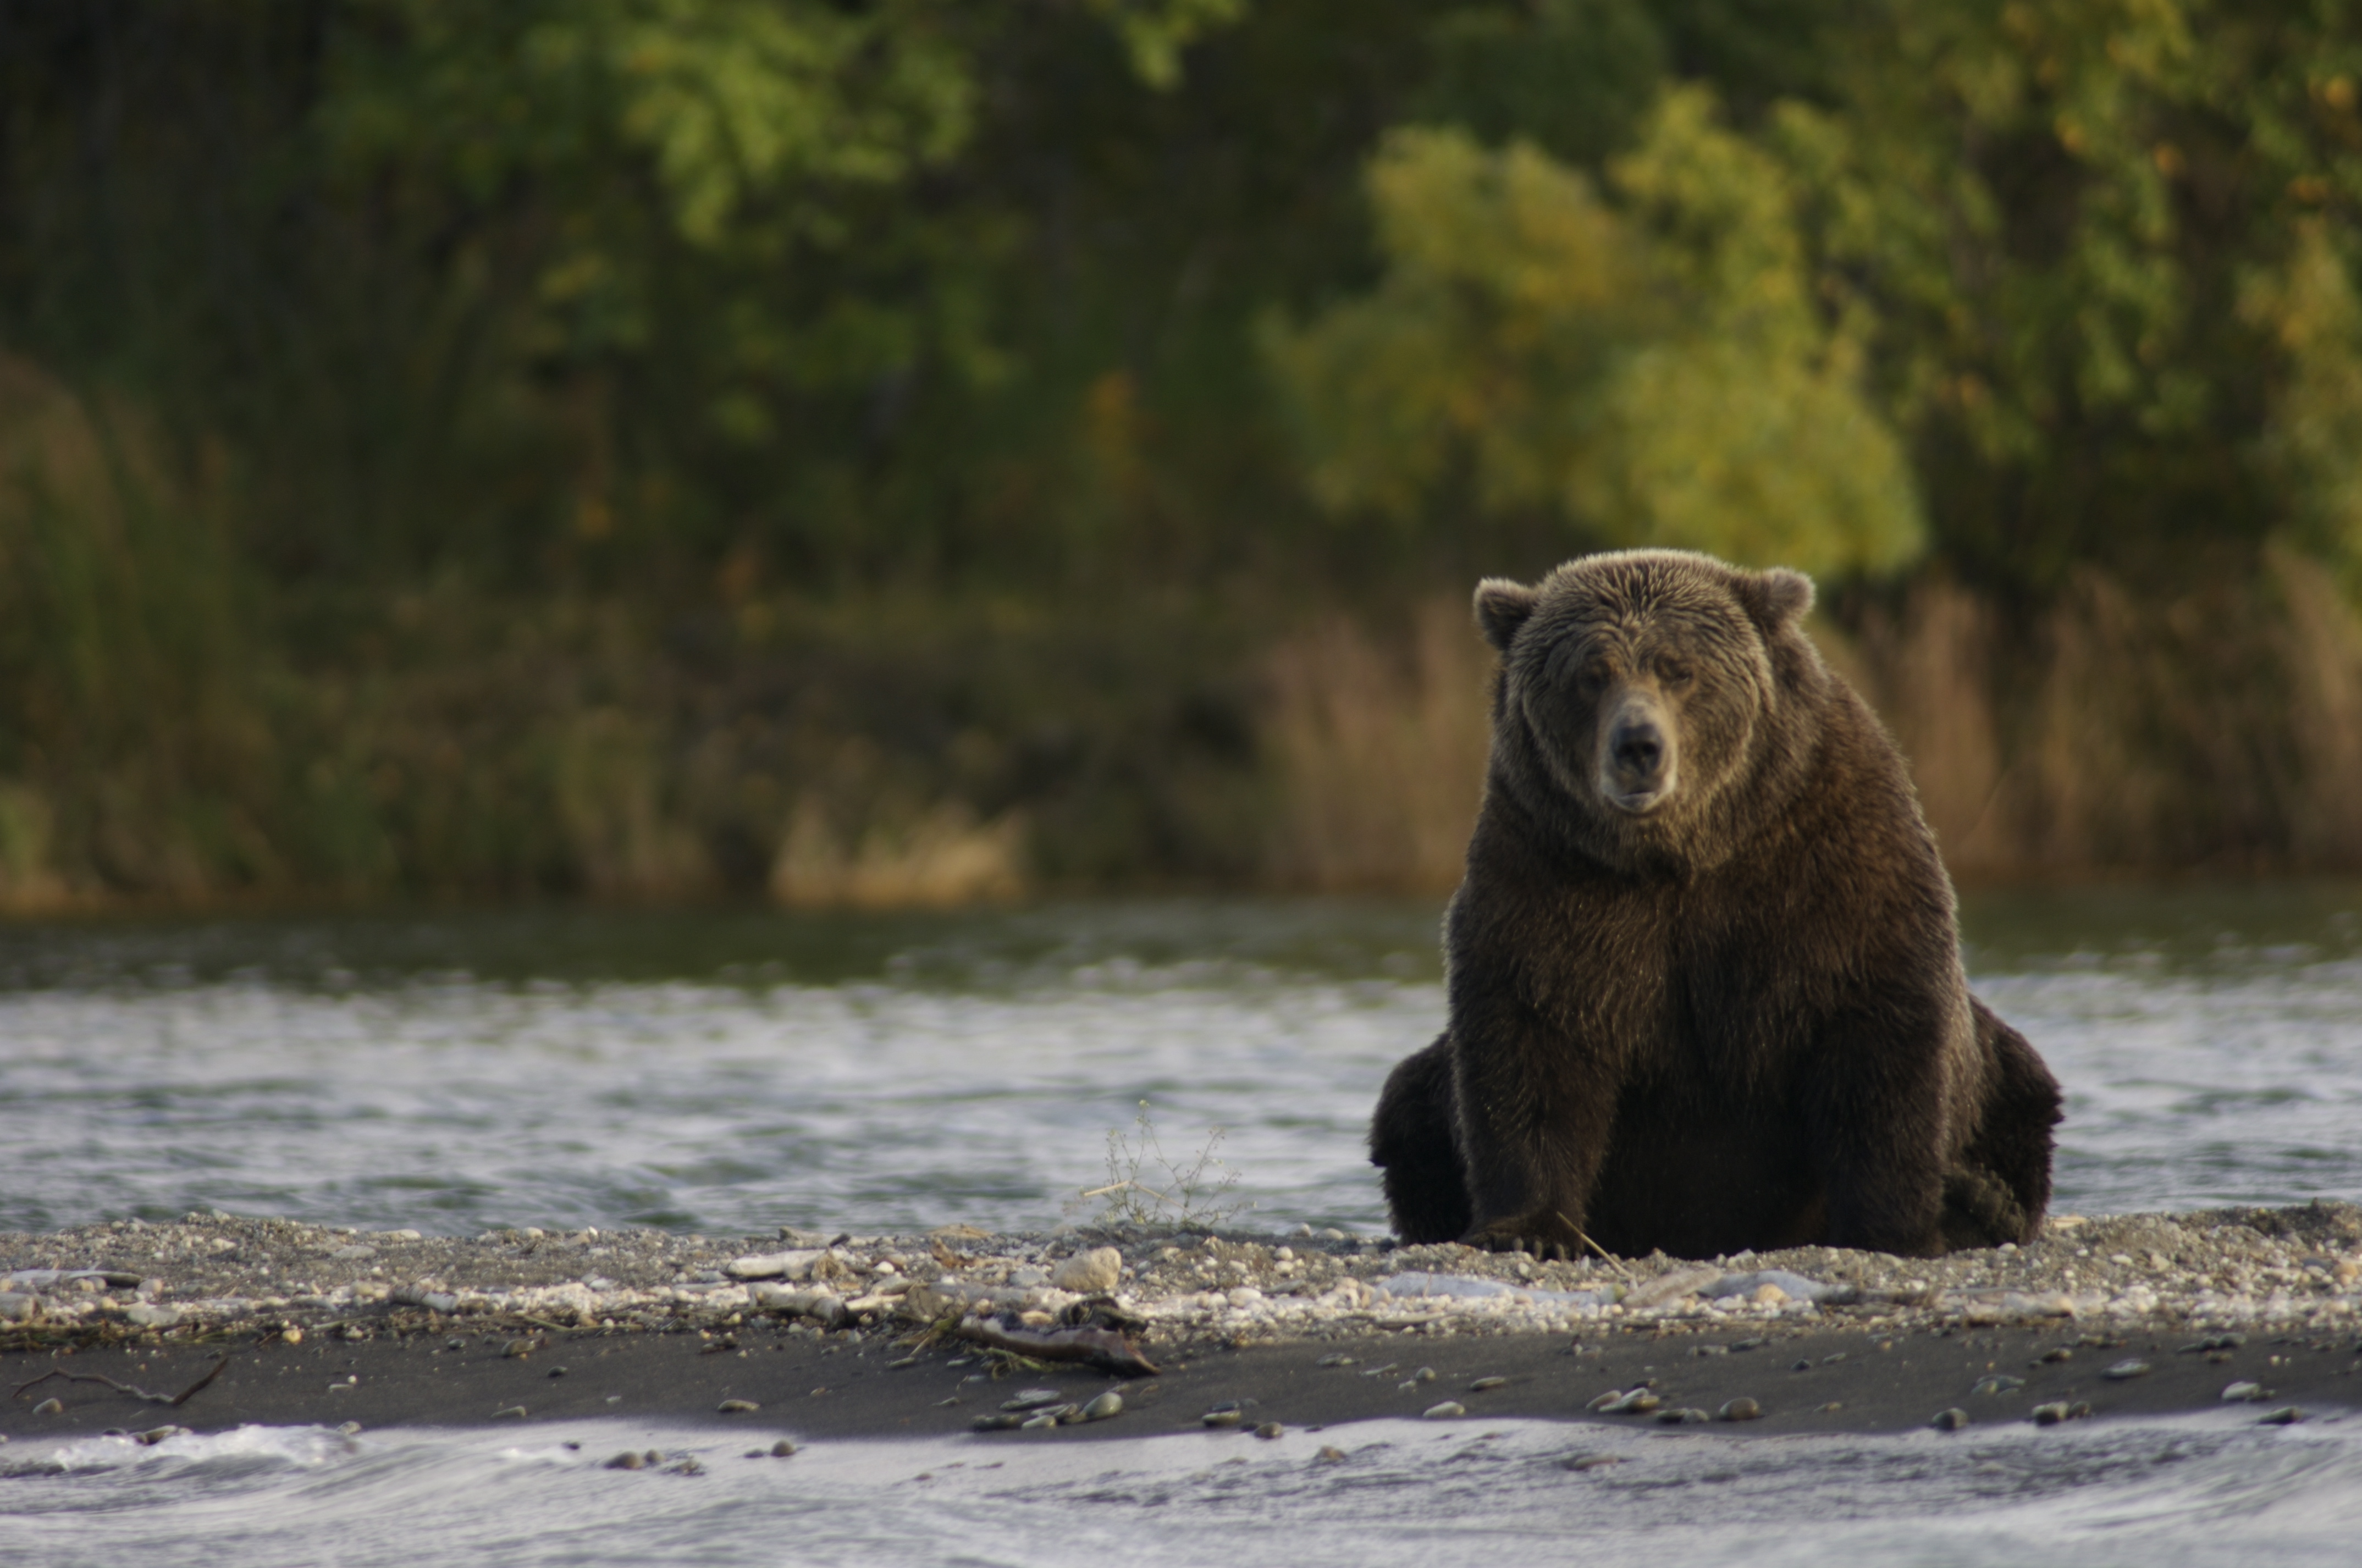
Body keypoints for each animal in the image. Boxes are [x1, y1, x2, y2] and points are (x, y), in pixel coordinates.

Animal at [1379, 550, 2060, 1266]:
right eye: (1591, 674)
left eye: (1679, 668)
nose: (1638, 745)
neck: (1682, 853)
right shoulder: (1549, 871)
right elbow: (1532, 1036)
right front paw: (1528, 1228)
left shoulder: (1831, 859)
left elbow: (1879, 1035)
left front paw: (1893, 1228)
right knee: (1407, 1103)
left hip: (1996, 1073)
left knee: (2022, 1085)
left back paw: (1979, 1201)